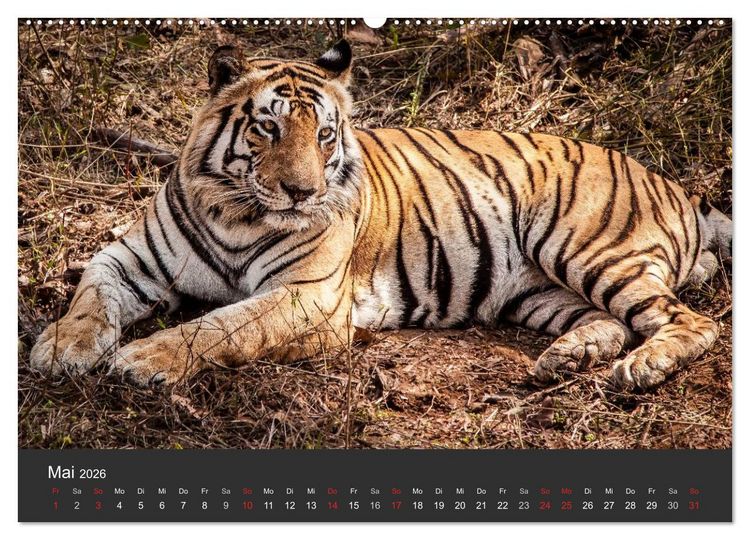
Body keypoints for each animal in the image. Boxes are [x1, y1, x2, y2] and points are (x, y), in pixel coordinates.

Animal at [29, 40, 732, 391]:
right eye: (266, 128)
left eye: (324, 135)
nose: (302, 192)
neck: (238, 212)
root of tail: (675, 185)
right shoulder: (127, 257)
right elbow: (90, 295)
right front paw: (61, 347)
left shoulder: (306, 294)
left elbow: (219, 326)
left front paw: (144, 359)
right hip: (534, 291)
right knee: (607, 321)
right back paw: (569, 357)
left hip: (586, 247)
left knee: (689, 322)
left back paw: (641, 368)